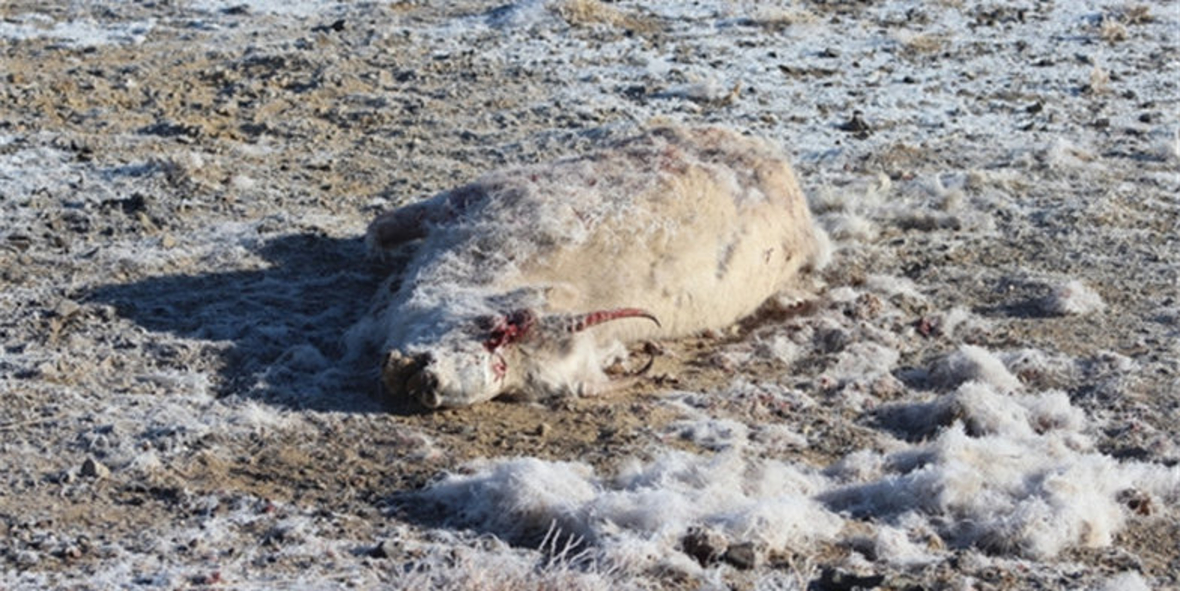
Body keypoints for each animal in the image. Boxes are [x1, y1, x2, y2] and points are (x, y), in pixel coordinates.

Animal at [353, 126, 824, 408]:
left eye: (510, 384)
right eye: (502, 330)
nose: (428, 387)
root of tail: (784, 173)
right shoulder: (474, 199)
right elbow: (387, 222)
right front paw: (376, 248)